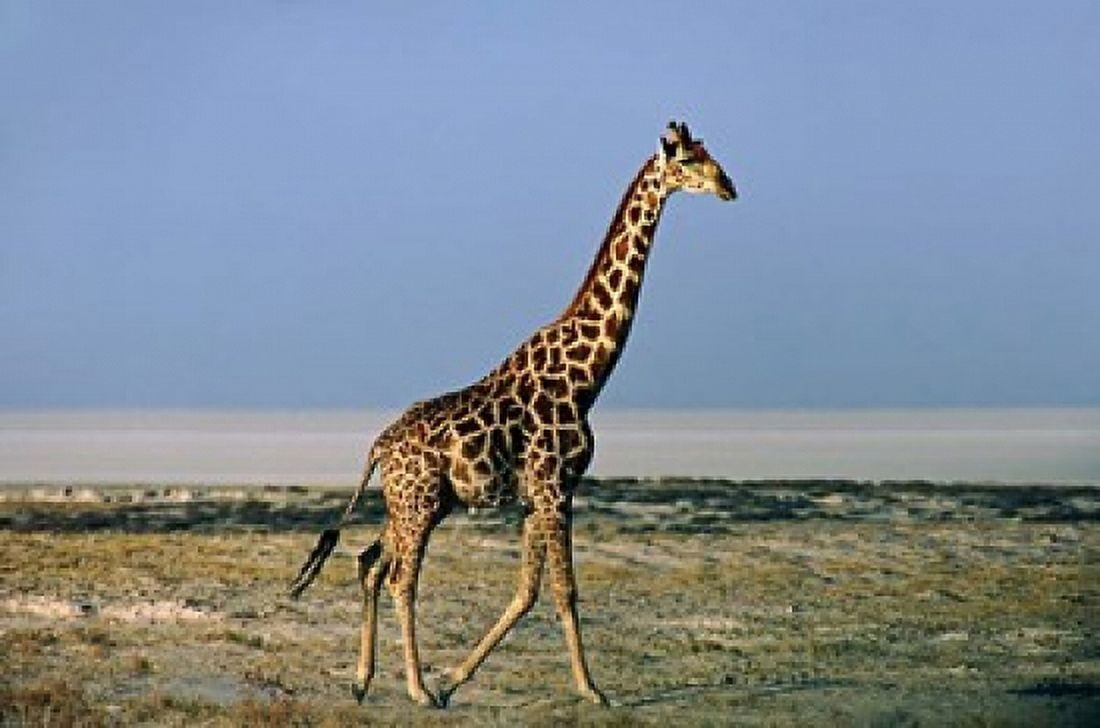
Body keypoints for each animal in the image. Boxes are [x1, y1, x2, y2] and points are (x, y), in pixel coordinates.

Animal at [290, 121, 736, 708]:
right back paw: (415, 689)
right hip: (420, 503)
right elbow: (565, 590)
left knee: (369, 562)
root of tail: (378, 447)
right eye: (687, 160)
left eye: (710, 152)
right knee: (401, 579)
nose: (729, 186)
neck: (588, 378)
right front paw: (592, 691)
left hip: (414, 503)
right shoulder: (555, 486)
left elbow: (527, 591)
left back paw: (364, 682)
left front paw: (456, 679)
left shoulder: (534, 497)